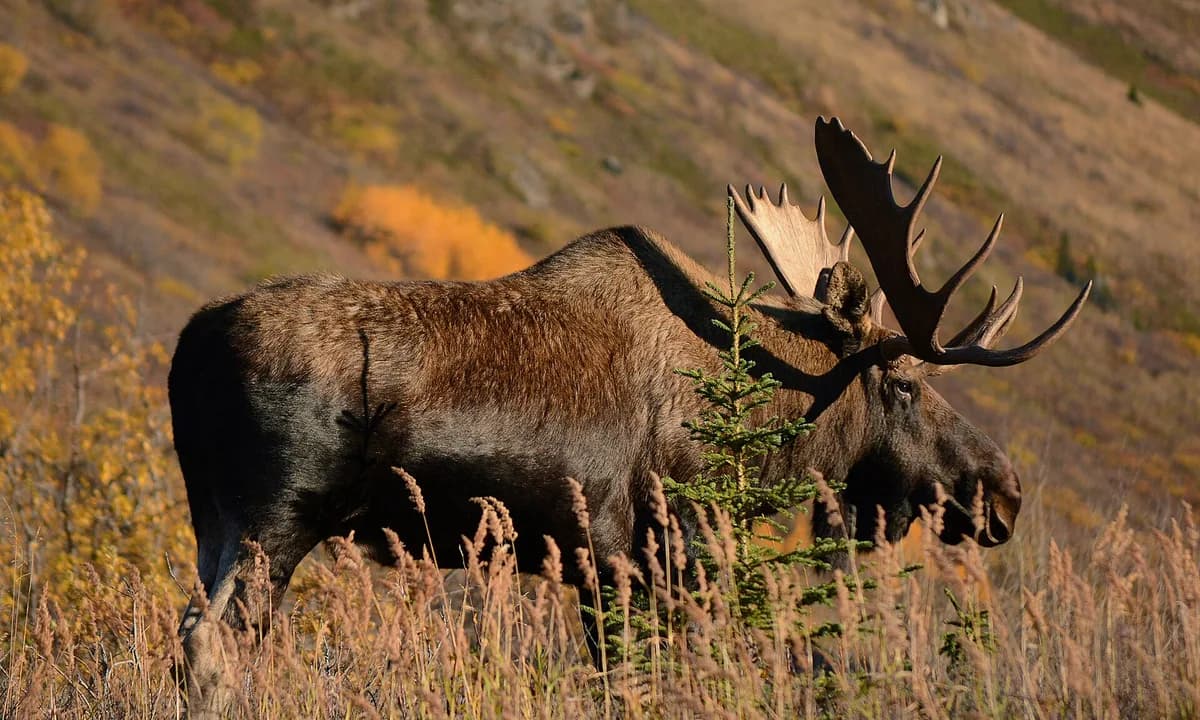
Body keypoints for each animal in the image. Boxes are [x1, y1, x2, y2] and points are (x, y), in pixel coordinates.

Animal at [169, 117, 1090, 709]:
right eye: (902, 383)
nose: (1004, 493)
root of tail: (188, 348)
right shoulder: (632, 553)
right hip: (278, 516)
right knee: (212, 647)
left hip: (214, 516)